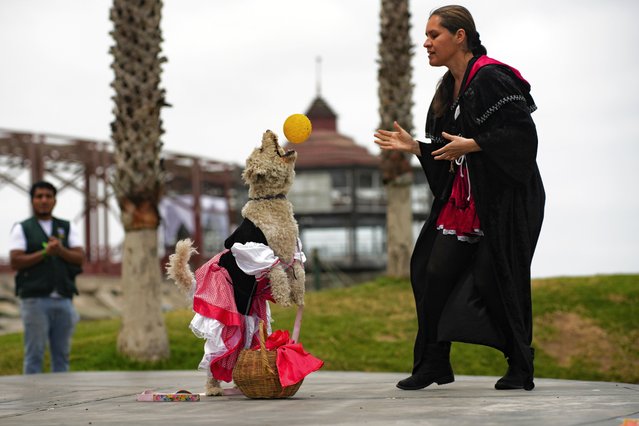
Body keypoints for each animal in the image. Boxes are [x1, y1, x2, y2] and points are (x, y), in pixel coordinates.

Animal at [168, 130, 308, 396]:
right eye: (261, 150)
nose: (268, 131)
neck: (270, 200)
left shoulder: (294, 251)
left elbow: (297, 272)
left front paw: (298, 296)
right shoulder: (257, 251)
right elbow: (277, 272)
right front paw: (285, 299)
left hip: (249, 319)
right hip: (224, 322)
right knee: (214, 357)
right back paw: (213, 388)